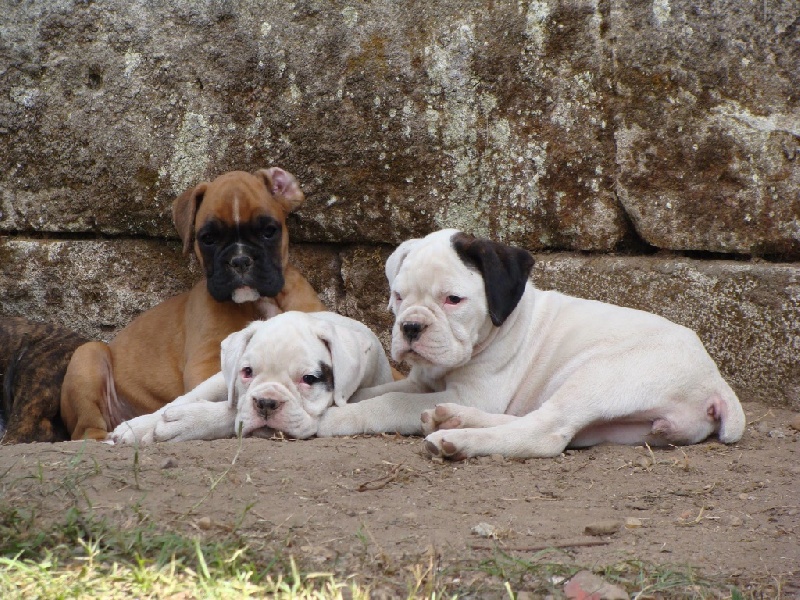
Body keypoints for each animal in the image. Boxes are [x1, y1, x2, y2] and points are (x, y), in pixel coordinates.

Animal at [60, 168, 326, 441]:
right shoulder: (206, 364)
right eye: (208, 239)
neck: (262, 301)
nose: (240, 260)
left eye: (269, 231)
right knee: (87, 429)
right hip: (88, 355)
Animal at [108, 311, 394, 444]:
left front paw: (187, 422)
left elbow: (229, 412)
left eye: (309, 379)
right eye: (247, 372)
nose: (266, 402)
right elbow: (223, 404)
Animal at [297, 229, 746, 459]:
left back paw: (458, 439)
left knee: (546, 432)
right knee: (538, 421)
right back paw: (454, 420)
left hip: (597, 376)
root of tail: (716, 383)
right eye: (398, 296)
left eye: (453, 300)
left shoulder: (474, 391)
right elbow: (379, 390)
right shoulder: (423, 381)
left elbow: (389, 402)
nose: (410, 327)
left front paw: (335, 417)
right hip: (621, 426)